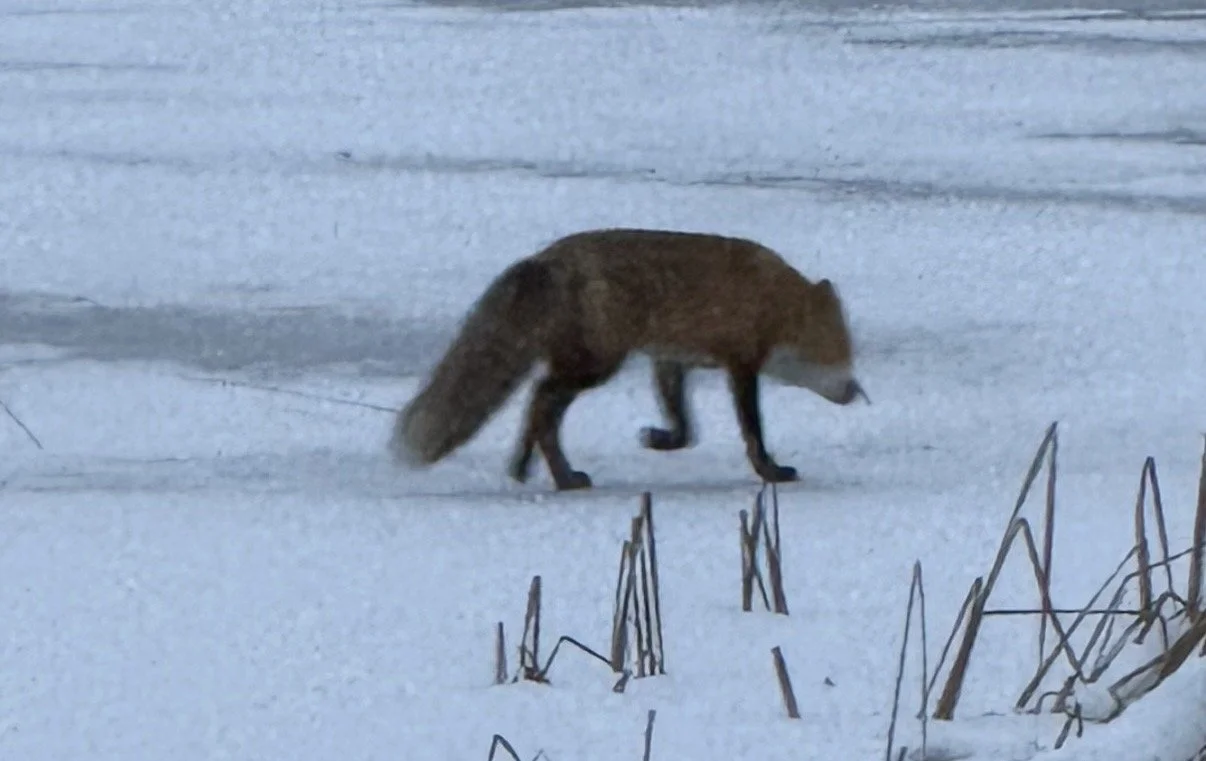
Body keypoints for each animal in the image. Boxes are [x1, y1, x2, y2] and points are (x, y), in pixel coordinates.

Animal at [390, 227, 868, 491]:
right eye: (836, 355)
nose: (854, 392)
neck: (773, 299)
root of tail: (543, 258)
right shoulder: (741, 363)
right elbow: (752, 431)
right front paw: (770, 471)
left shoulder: (671, 360)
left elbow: (686, 429)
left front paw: (659, 440)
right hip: (596, 365)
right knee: (542, 400)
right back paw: (562, 477)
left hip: (584, 362)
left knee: (535, 406)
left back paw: (527, 468)